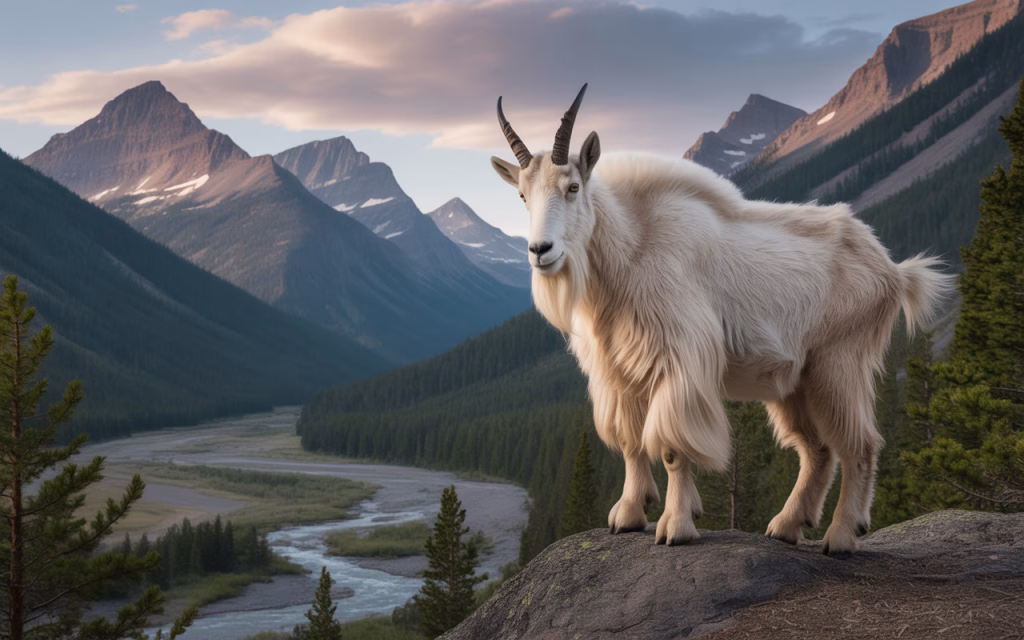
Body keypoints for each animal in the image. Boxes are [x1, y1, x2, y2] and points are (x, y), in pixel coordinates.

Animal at [490, 85, 952, 555]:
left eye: (572, 187)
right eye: (523, 196)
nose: (540, 251)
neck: (630, 247)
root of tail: (892, 270)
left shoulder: (679, 360)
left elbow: (672, 447)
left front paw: (675, 526)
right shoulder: (618, 371)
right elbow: (630, 442)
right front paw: (629, 516)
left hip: (840, 362)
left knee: (860, 445)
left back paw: (841, 535)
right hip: (796, 381)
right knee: (817, 449)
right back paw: (786, 526)